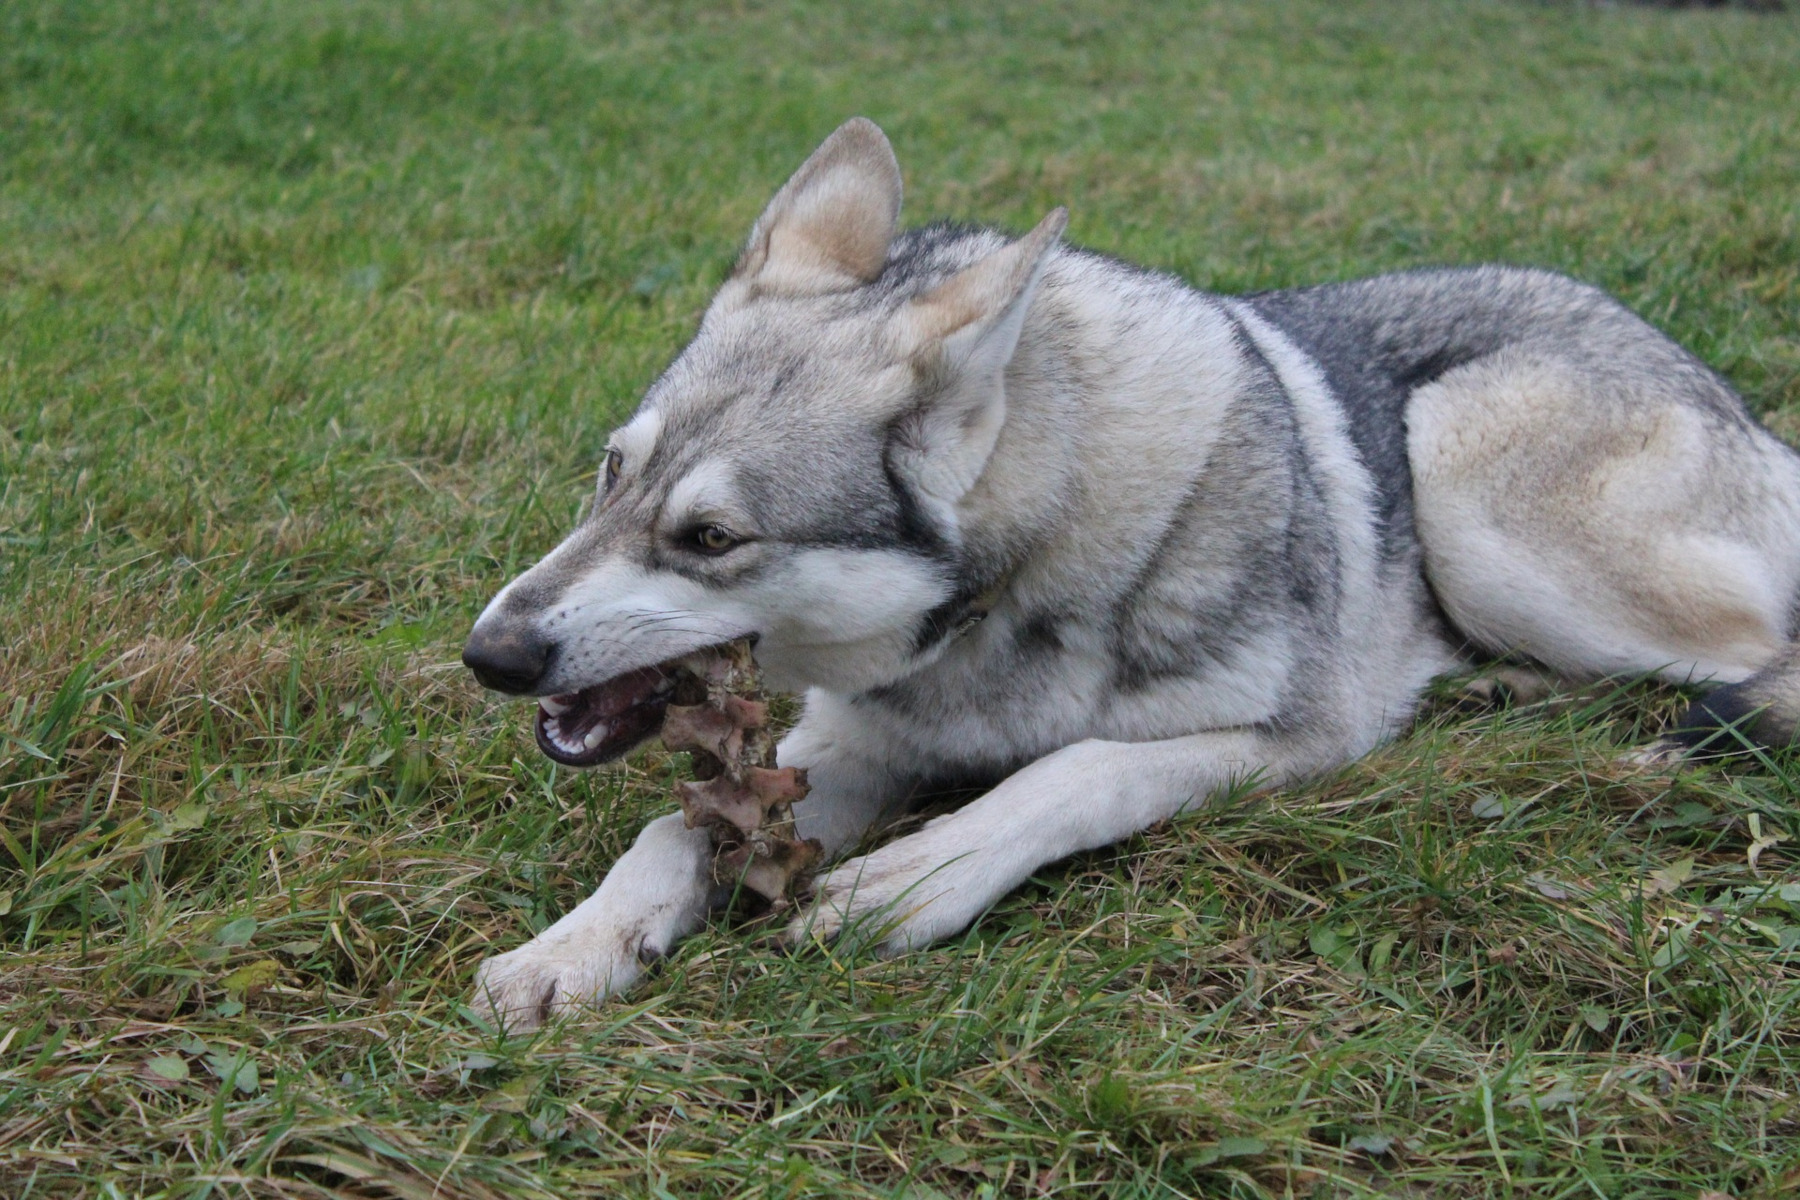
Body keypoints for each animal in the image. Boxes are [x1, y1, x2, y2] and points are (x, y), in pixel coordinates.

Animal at [460, 116, 1800, 1029]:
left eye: (712, 538)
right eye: (611, 474)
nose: (490, 654)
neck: (1000, 615)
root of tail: (1731, 399)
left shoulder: (1301, 739)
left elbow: (1075, 767)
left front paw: (914, 880)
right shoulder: (849, 746)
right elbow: (671, 833)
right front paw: (570, 949)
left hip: (1471, 484)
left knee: (1755, 654)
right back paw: (1499, 689)